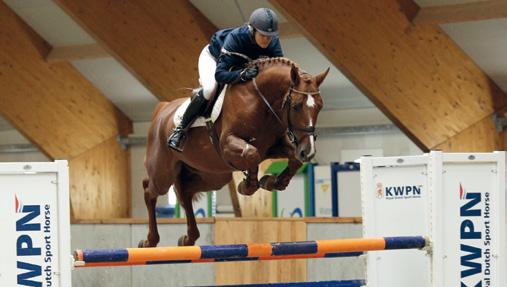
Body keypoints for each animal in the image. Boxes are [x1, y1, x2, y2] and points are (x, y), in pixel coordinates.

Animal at [139, 58, 332, 248]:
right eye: (297, 106)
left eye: (320, 106)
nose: (308, 151)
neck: (260, 100)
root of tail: (162, 109)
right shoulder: (228, 145)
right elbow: (252, 154)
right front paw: (247, 186)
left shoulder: (275, 146)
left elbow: (293, 160)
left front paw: (272, 182)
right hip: (163, 173)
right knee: (149, 190)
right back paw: (150, 240)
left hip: (212, 175)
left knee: (185, 192)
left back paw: (188, 238)